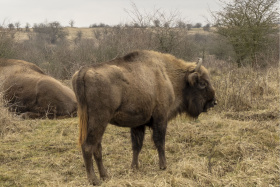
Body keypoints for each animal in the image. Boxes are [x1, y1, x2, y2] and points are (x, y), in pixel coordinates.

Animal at [72, 50, 217, 186]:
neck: (168, 75)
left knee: (97, 147)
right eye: (202, 83)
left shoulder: (138, 124)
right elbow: (159, 141)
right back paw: (94, 180)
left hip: (95, 123)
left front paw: (134, 167)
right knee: (88, 146)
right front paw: (163, 166)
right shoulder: (161, 118)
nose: (214, 102)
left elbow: (137, 145)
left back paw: (105, 176)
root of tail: (83, 72)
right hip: (99, 120)